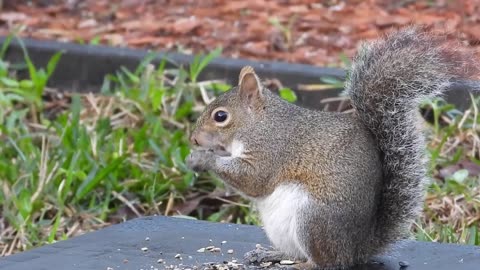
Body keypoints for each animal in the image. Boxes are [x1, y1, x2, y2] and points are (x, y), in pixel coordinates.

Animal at [186, 26, 478, 268]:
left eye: (221, 116)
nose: (194, 139)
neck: (260, 123)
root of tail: (358, 249)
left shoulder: (271, 149)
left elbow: (254, 179)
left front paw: (204, 159)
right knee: (298, 253)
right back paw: (269, 254)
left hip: (314, 219)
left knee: (325, 262)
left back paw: (300, 265)